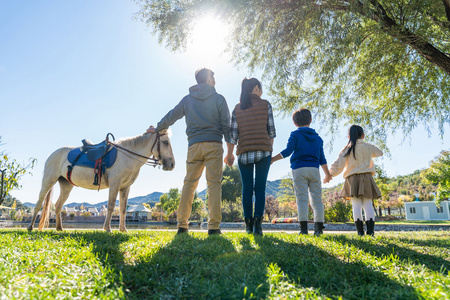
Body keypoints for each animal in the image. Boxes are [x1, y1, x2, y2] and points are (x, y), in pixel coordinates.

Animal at [26, 129, 174, 232]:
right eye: (165, 142)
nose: (172, 164)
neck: (127, 155)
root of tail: (52, 154)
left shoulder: (125, 188)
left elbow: (123, 209)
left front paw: (123, 230)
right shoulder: (115, 184)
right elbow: (111, 206)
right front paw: (107, 228)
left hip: (66, 185)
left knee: (57, 206)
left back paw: (59, 228)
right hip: (48, 181)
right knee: (39, 204)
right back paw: (30, 227)